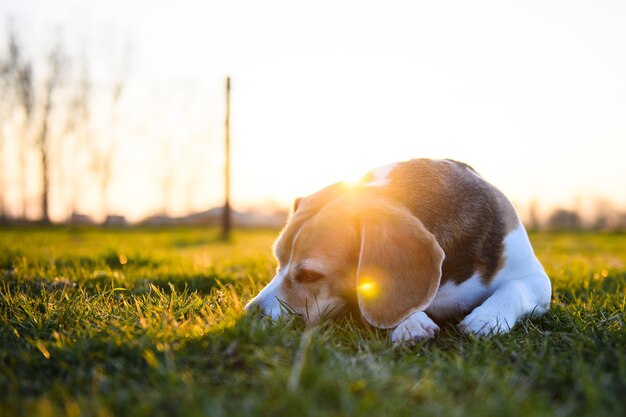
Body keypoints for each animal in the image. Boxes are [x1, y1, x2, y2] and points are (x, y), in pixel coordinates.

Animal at [244, 158, 552, 342]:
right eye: (278, 262)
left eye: (310, 275)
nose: (250, 313)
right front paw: (411, 322)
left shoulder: (536, 278)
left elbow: (515, 288)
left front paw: (487, 318)